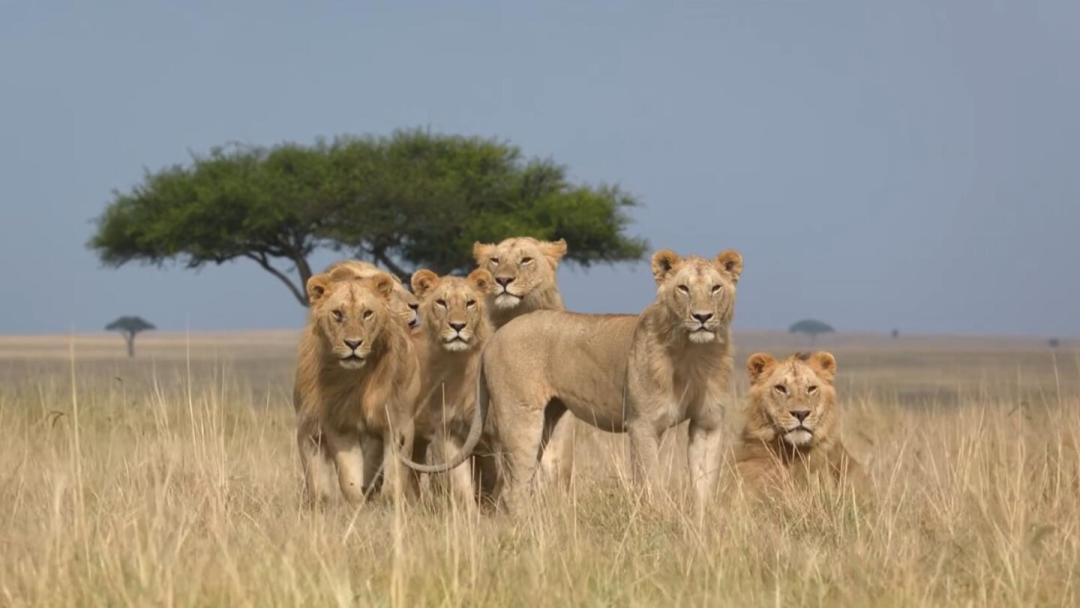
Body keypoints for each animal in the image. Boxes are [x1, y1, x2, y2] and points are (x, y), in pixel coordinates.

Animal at [293, 269, 421, 506]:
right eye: (337, 314)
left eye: (367, 313)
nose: (353, 344)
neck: (357, 379)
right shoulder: (336, 426)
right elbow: (346, 477)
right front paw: (356, 504)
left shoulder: (398, 422)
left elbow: (394, 476)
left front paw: (389, 503)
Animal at [482, 248, 743, 513]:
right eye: (683, 288)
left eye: (715, 288)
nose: (702, 317)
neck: (693, 353)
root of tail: (497, 334)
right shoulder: (643, 424)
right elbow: (651, 483)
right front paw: (659, 517)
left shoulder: (708, 423)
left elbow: (704, 486)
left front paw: (703, 520)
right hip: (521, 418)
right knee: (513, 490)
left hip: (549, 417)